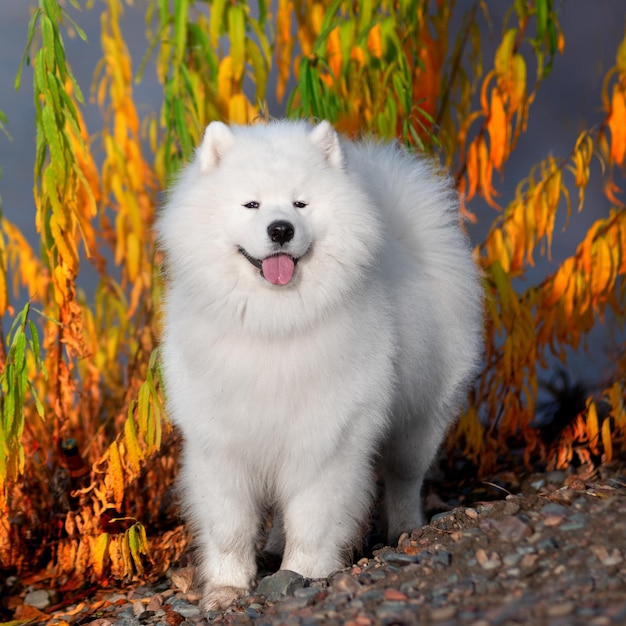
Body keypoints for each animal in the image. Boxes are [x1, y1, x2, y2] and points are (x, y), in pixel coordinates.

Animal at [157, 119, 482, 608]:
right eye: (251, 203)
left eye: (300, 203)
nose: (280, 229)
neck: (273, 327)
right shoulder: (223, 446)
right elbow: (229, 526)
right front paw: (228, 588)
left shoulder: (327, 441)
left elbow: (313, 520)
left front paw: (304, 574)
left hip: (419, 422)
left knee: (405, 479)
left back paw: (406, 529)